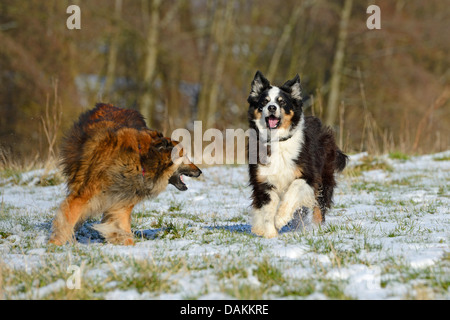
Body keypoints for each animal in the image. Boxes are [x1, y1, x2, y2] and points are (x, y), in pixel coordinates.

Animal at [48, 104, 201, 246]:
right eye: (184, 156)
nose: (200, 171)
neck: (141, 161)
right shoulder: (82, 195)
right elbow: (68, 218)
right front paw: (54, 244)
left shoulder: (121, 203)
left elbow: (120, 226)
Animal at [246, 71, 348, 239]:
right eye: (264, 101)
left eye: (282, 102)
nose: (272, 107)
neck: (278, 141)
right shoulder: (263, 180)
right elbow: (267, 209)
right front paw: (270, 234)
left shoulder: (308, 175)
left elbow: (294, 188)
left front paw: (280, 218)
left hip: (324, 176)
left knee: (319, 205)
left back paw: (316, 228)